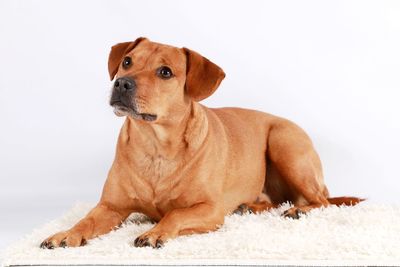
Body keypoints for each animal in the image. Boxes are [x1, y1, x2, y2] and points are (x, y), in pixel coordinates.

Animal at [40, 38, 362, 251]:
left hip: (285, 145)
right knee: (278, 199)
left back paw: (298, 210)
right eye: (127, 61)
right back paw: (251, 206)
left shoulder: (209, 209)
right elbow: (86, 221)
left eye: (165, 72)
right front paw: (65, 233)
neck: (155, 145)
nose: (122, 82)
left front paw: (156, 232)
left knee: (320, 201)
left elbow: (176, 213)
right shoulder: (111, 206)